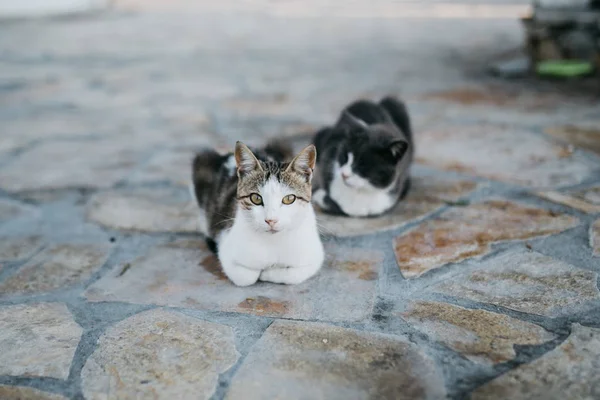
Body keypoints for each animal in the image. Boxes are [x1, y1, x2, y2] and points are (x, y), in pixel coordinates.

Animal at [191, 140, 324, 284]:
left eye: (289, 199)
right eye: (256, 198)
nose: (271, 220)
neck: (273, 242)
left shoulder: (314, 255)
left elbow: (293, 275)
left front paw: (269, 272)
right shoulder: (226, 249)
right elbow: (247, 277)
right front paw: (263, 271)